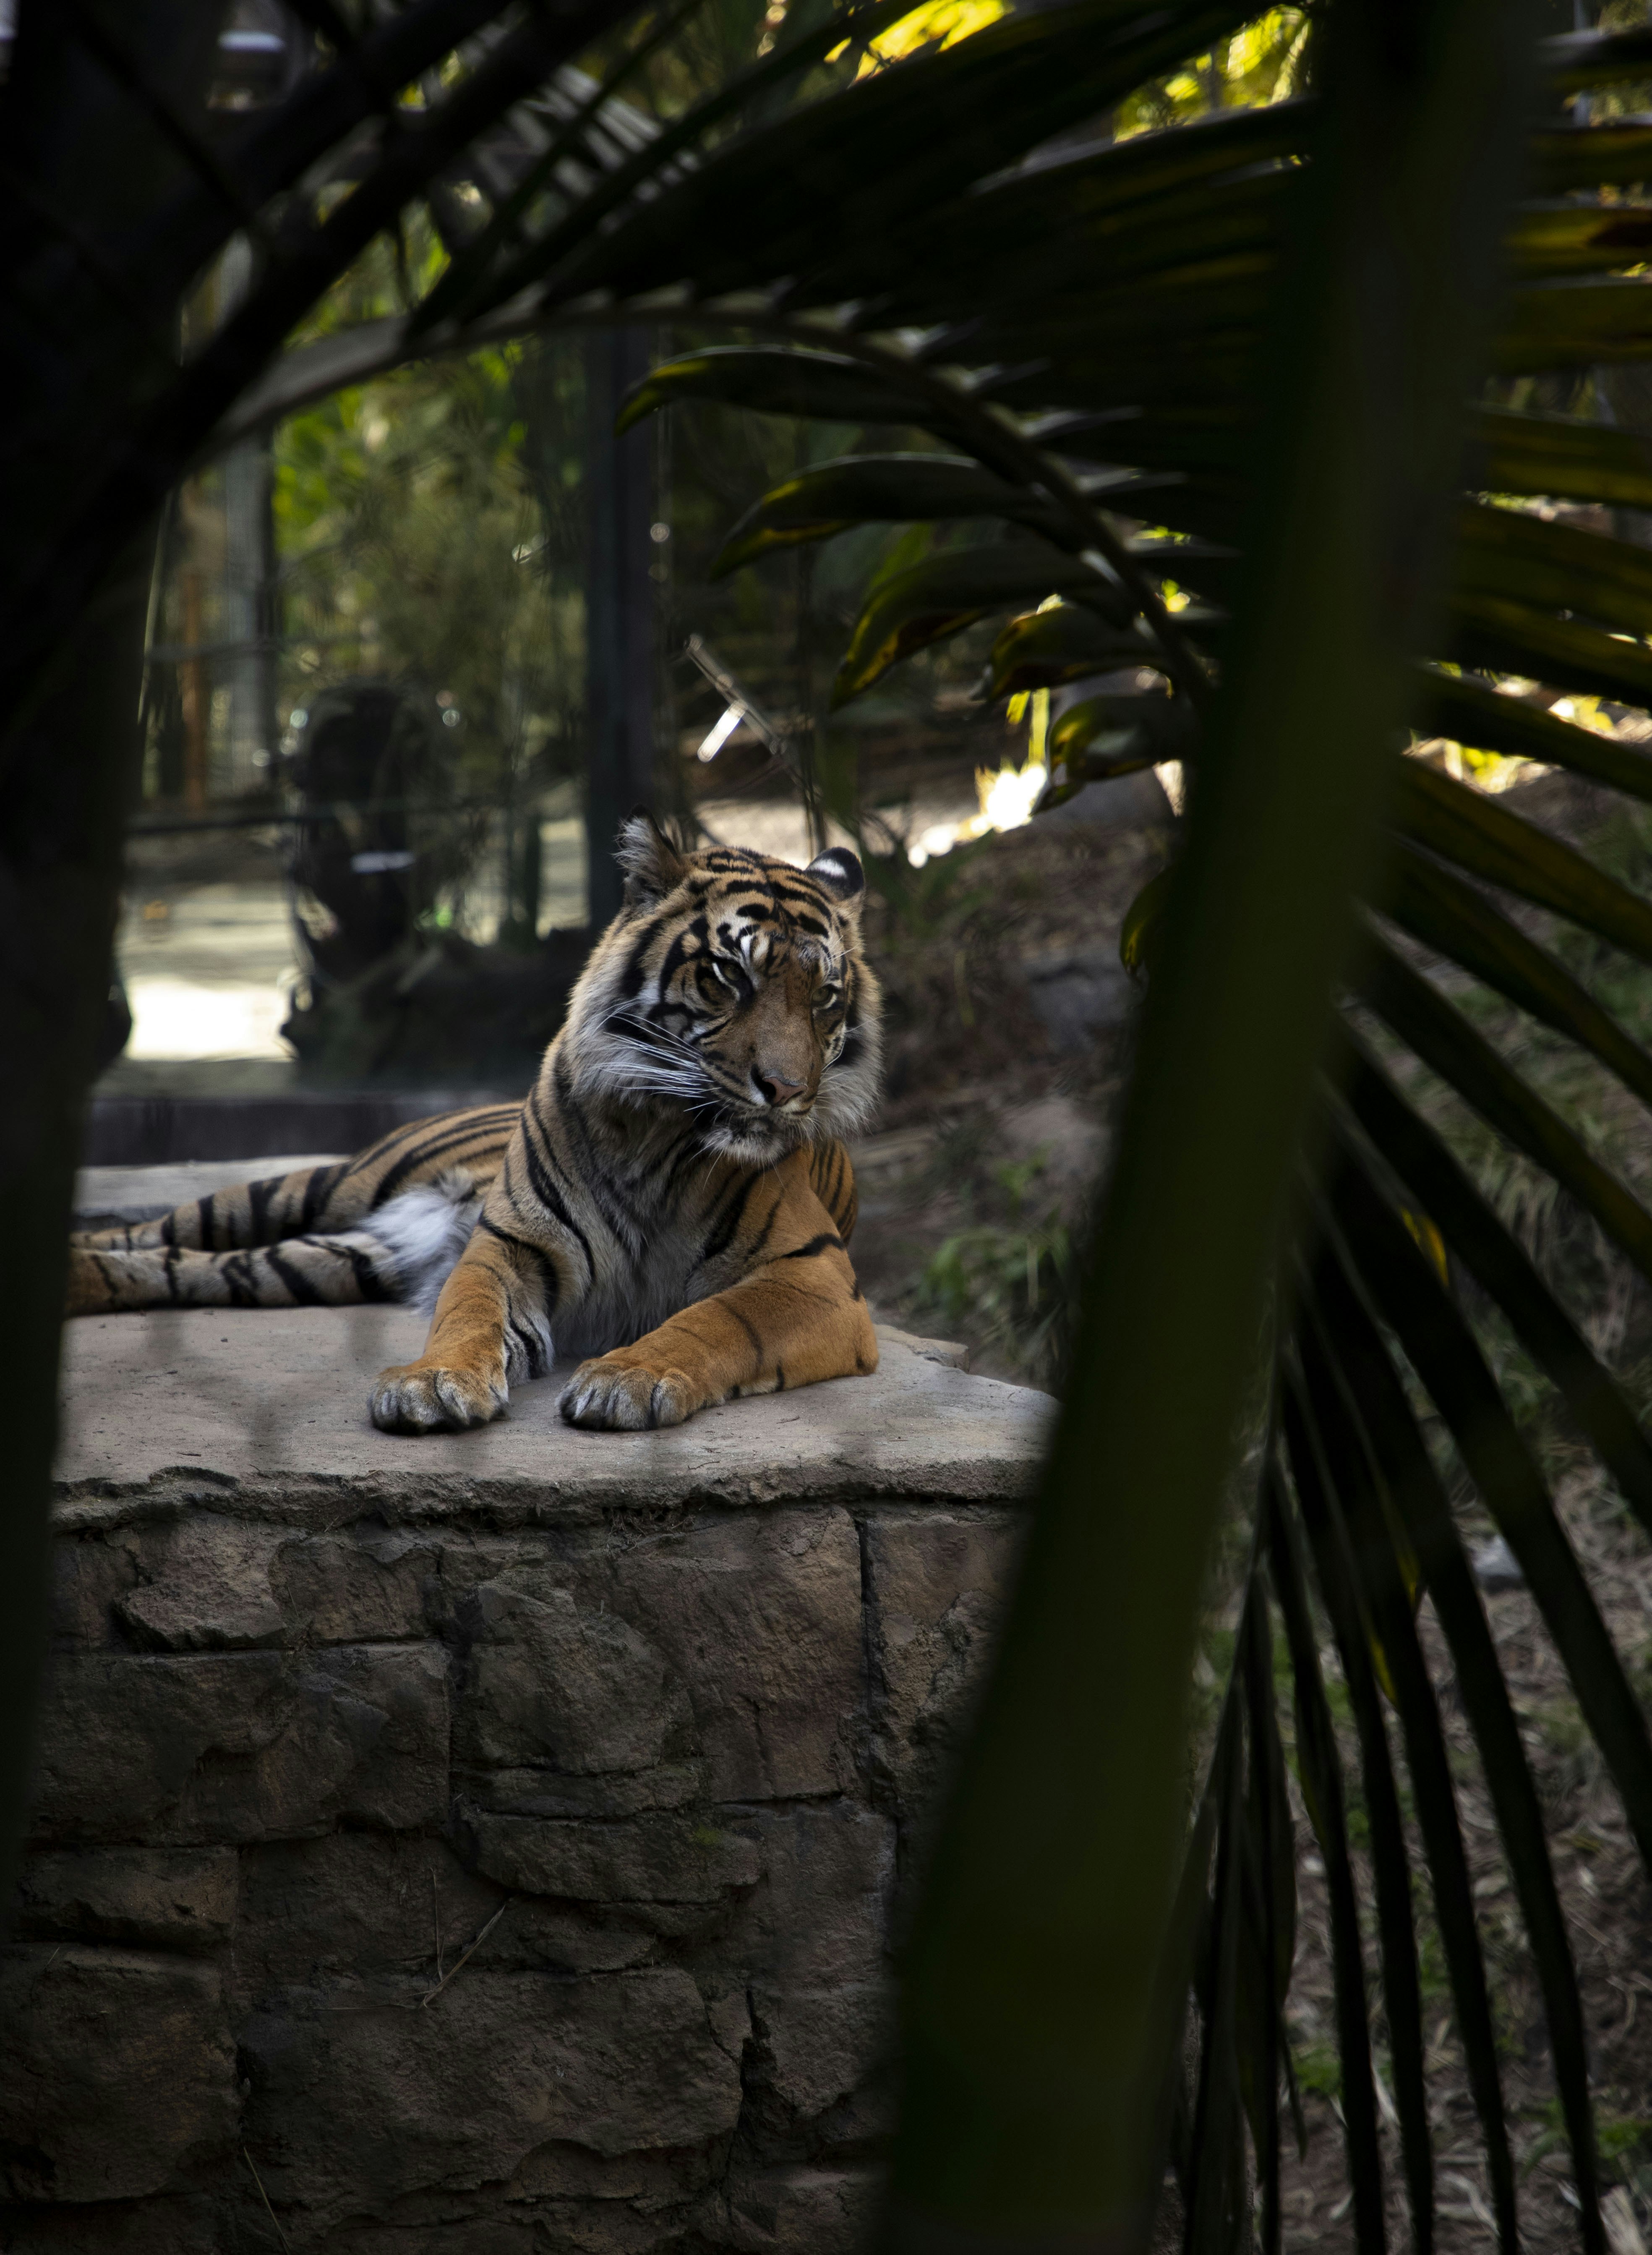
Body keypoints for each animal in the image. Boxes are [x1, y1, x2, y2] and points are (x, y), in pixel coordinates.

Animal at [67, 819, 884, 1433]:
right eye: (729, 975)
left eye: (824, 995)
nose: (787, 1090)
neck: (653, 1135)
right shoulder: (510, 1244)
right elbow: (468, 1312)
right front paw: (430, 1385)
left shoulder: (814, 1273)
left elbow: (717, 1318)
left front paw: (629, 1376)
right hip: (312, 1186)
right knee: (155, 1230)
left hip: (334, 1258)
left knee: (190, 1264)